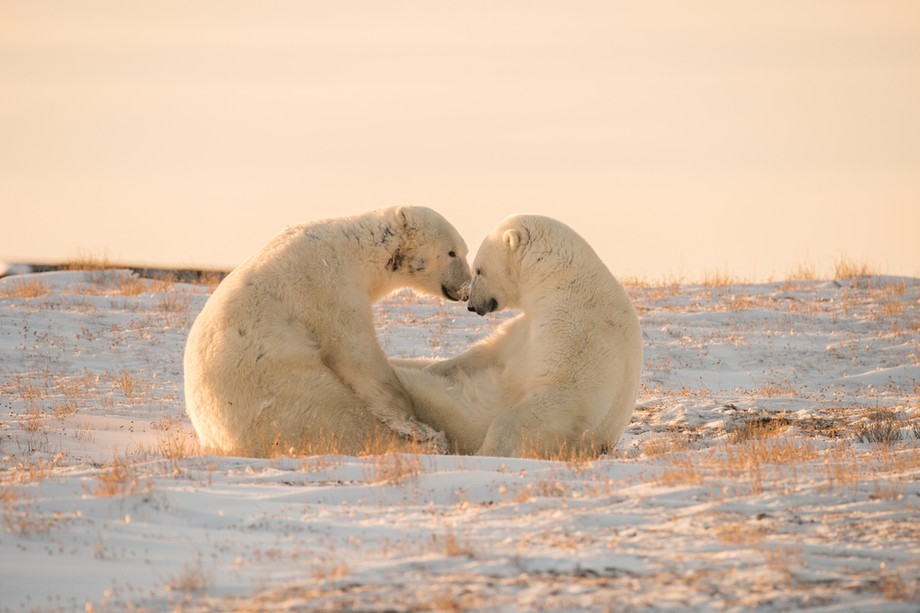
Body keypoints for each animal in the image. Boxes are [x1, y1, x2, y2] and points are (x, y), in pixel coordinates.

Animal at [188, 206, 474, 454]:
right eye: (452, 252)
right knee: (343, 419)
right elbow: (355, 352)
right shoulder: (328, 287)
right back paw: (429, 441)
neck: (357, 250)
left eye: (464, 251)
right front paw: (413, 423)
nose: (467, 289)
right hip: (285, 389)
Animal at [394, 213, 640, 456]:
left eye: (479, 270)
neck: (561, 285)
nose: (472, 305)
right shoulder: (527, 325)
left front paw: (488, 451)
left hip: (465, 411)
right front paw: (437, 367)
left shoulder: (577, 333)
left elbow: (557, 395)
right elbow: (488, 352)